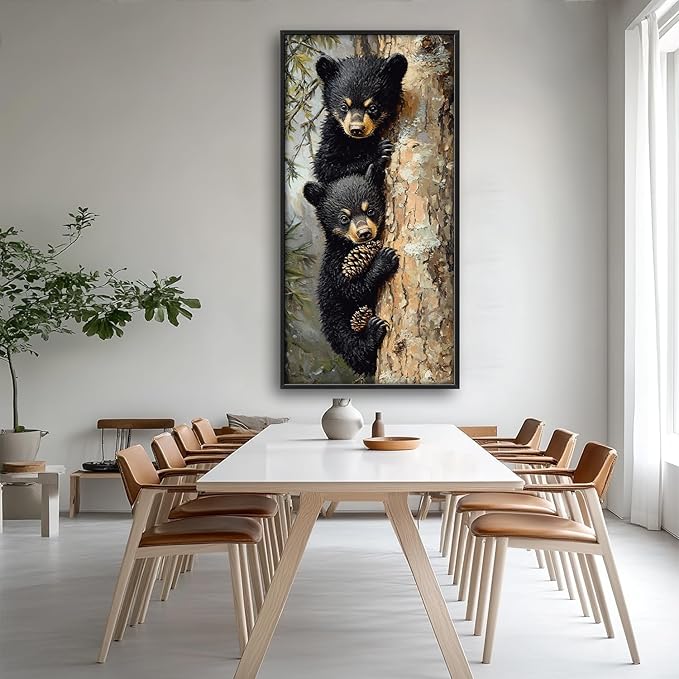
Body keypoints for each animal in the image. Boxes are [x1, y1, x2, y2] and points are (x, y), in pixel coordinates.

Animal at [303, 163, 399, 376]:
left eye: (370, 210)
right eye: (344, 218)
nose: (365, 233)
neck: (349, 247)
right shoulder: (335, 265)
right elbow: (351, 290)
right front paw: (384, 259)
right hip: (336, 326)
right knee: (354, 348)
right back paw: (372, 332)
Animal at [313, 53, 408, 185]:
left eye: (373, 107)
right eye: (344, 106)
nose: (356, 129)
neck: (358, 141)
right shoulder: (332, 136)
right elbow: (326, 167)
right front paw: (379, 151)